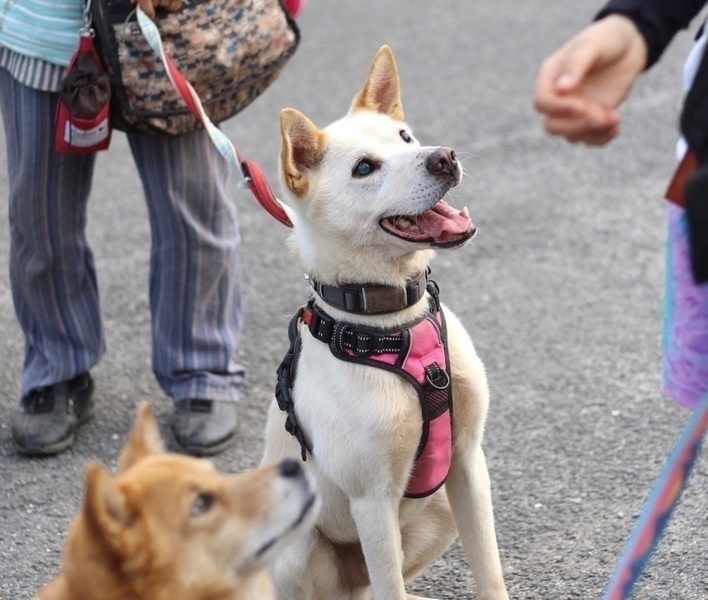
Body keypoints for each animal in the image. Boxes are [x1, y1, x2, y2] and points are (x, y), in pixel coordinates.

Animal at [261, 45, 509, 600]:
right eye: (364, 168)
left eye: (405, 137)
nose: (444, 156)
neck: (391, 321)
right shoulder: (372, 499)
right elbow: (388, 578)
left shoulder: (468, 462)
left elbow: (490, 570)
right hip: (297, 547)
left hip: (440, 511)